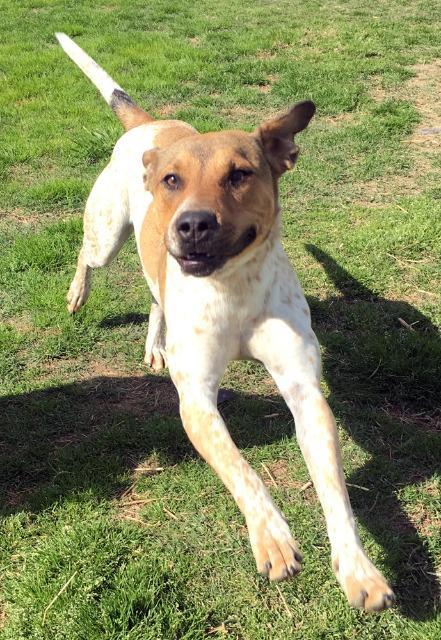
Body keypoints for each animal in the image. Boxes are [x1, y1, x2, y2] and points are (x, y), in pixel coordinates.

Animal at [56, 33, 394, 608]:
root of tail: (150, 125)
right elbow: (242, 469)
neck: (233, 289)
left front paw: (359, 569)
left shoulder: (305, 391)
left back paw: (155, 341)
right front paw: (273, 539)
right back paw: (79, 294)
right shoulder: (195, 398)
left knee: (156, 294)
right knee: (87, 254)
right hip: (106, 234)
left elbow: (336, 493)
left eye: (239, 174)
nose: (192, 224)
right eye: (172, 181)